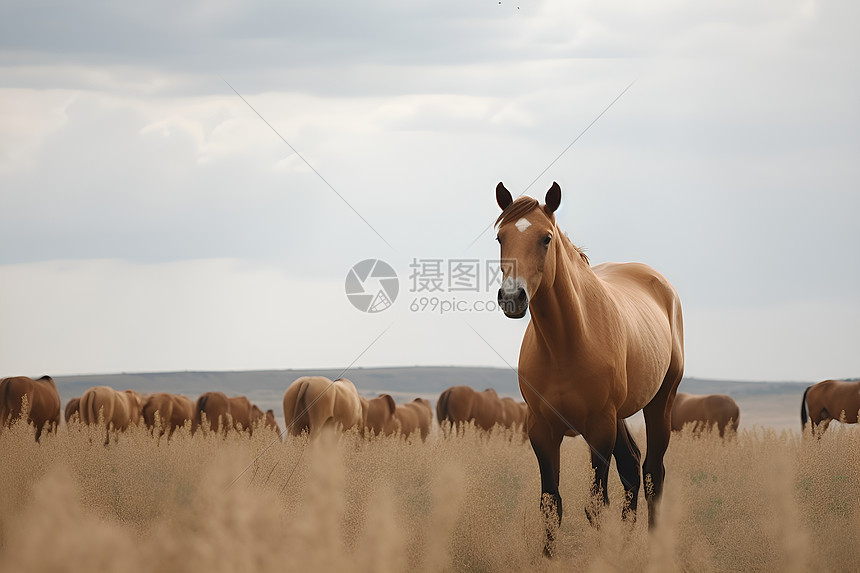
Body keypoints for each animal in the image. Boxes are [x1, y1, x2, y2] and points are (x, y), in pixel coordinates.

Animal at [494, 181, 680, 552]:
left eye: (546, 238)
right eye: (500, 238)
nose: (512, 298)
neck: (565, 344)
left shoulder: (599, 428)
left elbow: (595, 505)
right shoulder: (541, 429)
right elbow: (551, 504)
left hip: (659, 402)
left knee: (652, 473)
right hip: (619, 415)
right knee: (632, 466)